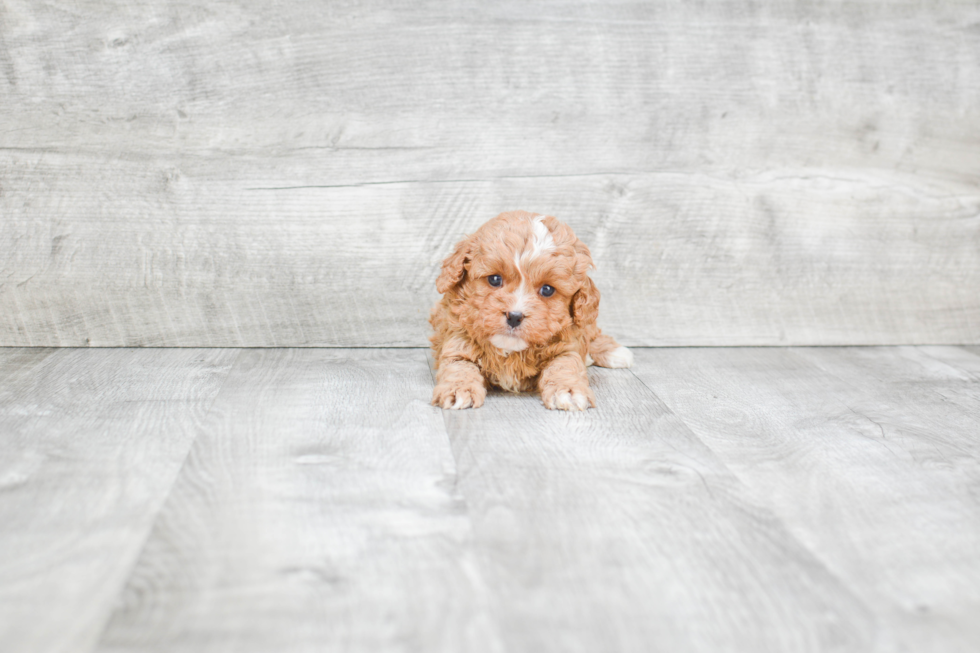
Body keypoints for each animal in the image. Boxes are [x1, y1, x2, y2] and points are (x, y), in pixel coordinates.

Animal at [430, 211, 632, 410]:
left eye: (547, 290)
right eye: (495, 279)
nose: (514, 317)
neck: (510, 349)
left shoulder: (567, 347)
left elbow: (565, 365)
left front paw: (568, 390)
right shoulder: (457, 342)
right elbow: (458, 367)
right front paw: (458, 389)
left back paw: (615, 352)